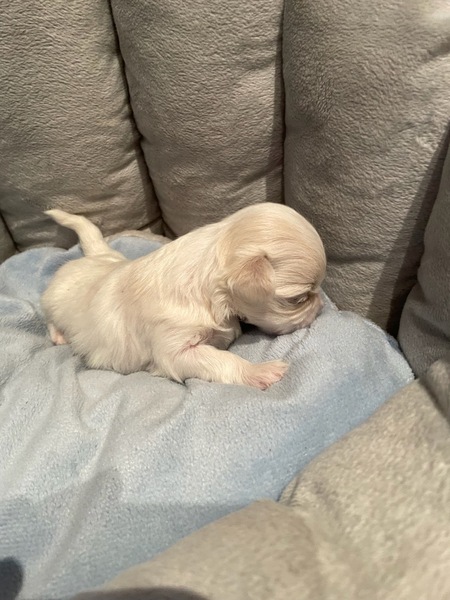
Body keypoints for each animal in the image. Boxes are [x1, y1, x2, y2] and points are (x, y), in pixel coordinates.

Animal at [41, 203, 326, 389]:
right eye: (300, 298)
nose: (321, 306)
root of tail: (98, 256)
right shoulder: (174, 351)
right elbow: (220, 359)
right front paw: (261, 371)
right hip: (53, 299)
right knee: (49, 318)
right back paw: (59, 335)